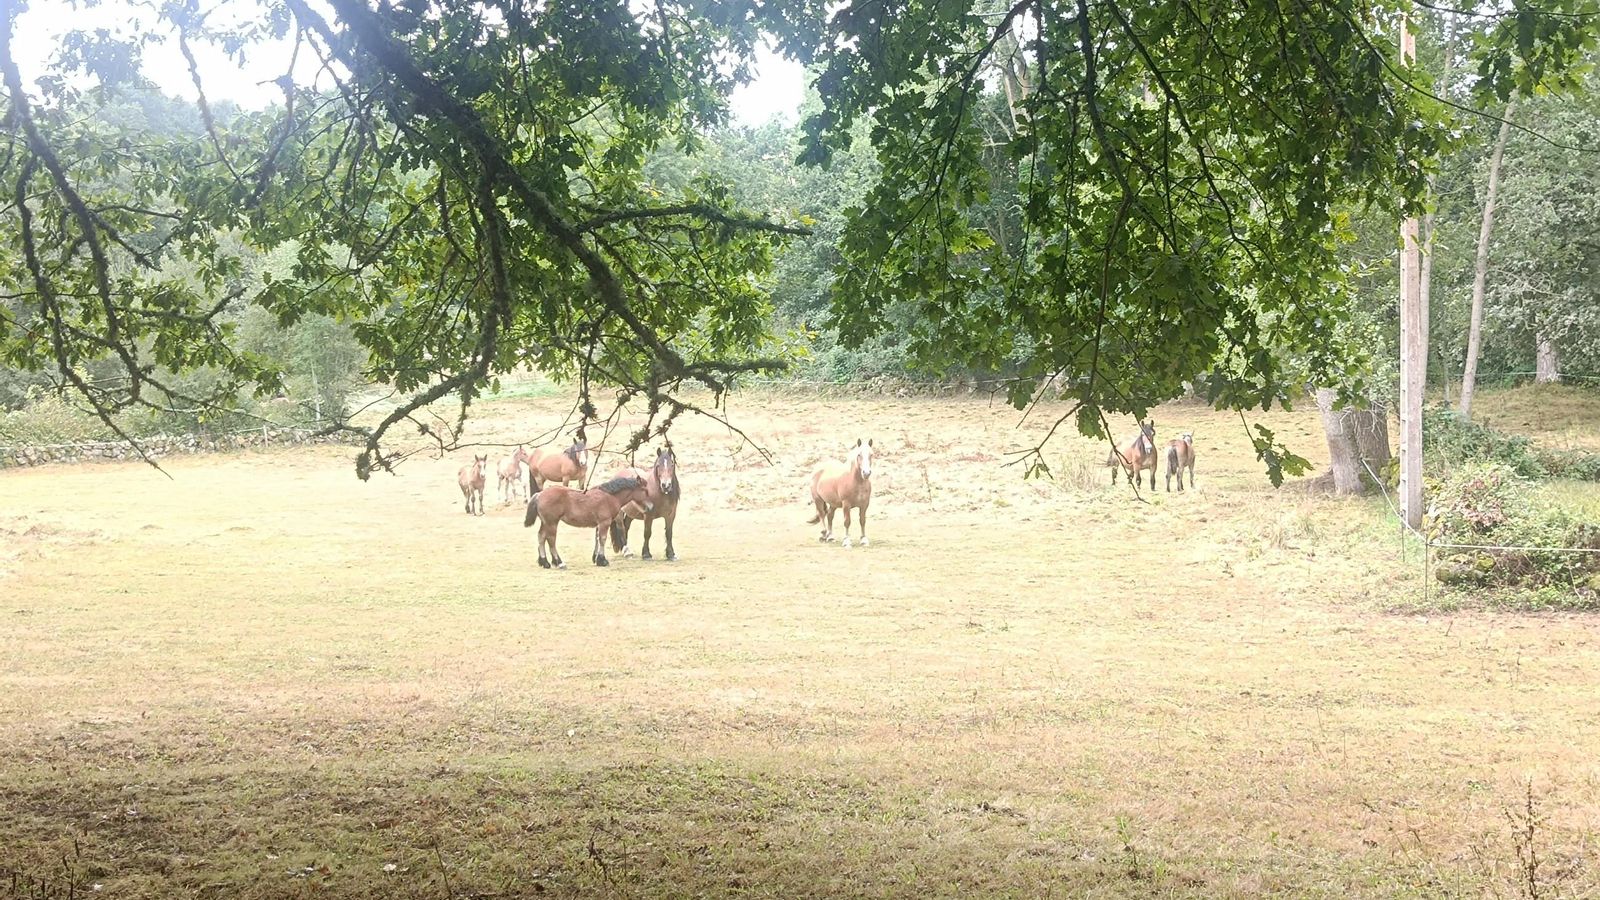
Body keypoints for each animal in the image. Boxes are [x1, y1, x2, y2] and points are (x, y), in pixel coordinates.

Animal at [523, 475, 653, 569]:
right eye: (645, 490)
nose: (651, 507)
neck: (609, 496)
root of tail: (539, 494)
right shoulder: (604, 522)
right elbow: (602, 539)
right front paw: (602, 560)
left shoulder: (599, 524)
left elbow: (597, 539)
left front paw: (596, 559)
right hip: (552, 523)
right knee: (551, 540)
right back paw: (559, 562)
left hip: (546, 522)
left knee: (541, 537)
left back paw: (544, 562)